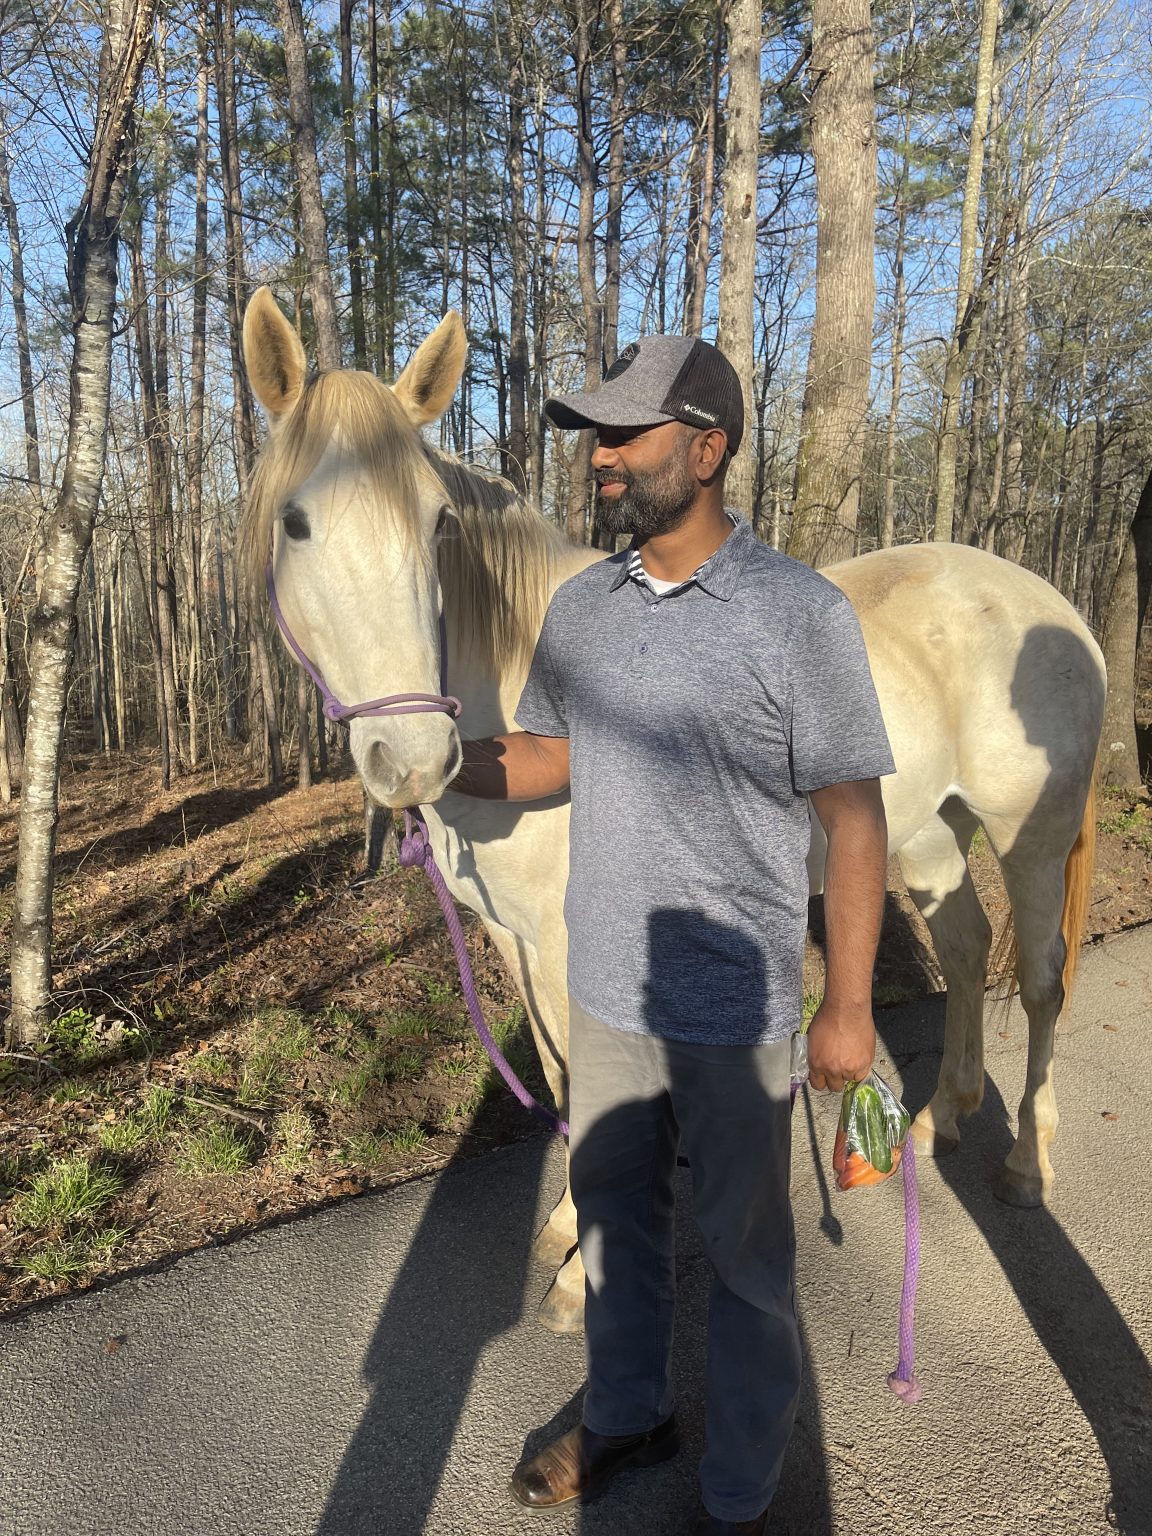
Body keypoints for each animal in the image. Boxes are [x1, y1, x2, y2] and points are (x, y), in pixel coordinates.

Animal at [240, 287, 1106, 1335]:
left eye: (438, 524)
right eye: (295, 524)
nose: (412, 759)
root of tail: (1051, 602)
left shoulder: (576, 943)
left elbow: (598, 1084)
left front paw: (583, 1277)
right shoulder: (515, 943)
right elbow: (562, 1074)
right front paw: (564, 1229)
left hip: (1031, 838)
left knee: (1043, 981)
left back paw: (1025, 1164)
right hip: (930, 833)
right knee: (971, 947)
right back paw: (943, 1116)